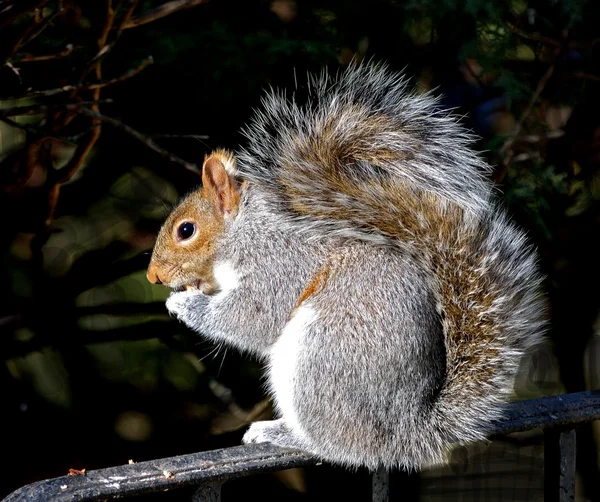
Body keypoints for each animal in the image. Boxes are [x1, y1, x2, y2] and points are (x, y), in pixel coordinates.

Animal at [146, 61, 548, 470]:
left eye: (186, 230)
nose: (153, 275)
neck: (246, 230)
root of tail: (408, 435)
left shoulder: (279, 265)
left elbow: (252, 316)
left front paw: (186, 303)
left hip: (323, 357)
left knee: (343, 445)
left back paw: (285, 434)